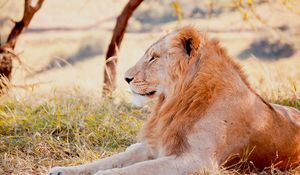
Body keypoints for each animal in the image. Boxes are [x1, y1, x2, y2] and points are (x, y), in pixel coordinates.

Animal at [49, 26, 300, 175]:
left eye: (153, 57)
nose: (126, 78)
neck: (175, 101)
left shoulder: (199, 161)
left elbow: (140, 169)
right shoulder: (158, 146)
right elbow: (112, 160)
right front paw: (63, 170)